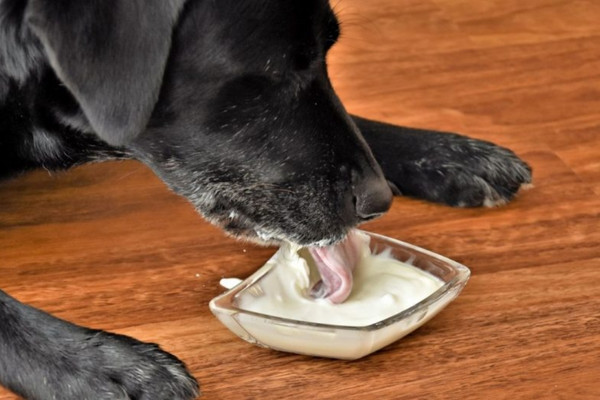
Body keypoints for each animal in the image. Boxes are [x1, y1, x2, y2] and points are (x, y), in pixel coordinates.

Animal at [1, 1, 536, 398]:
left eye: (325, 52)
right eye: (274, 73)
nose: (379, 200)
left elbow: (356, 123)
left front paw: (444, 152)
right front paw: (98, 366)